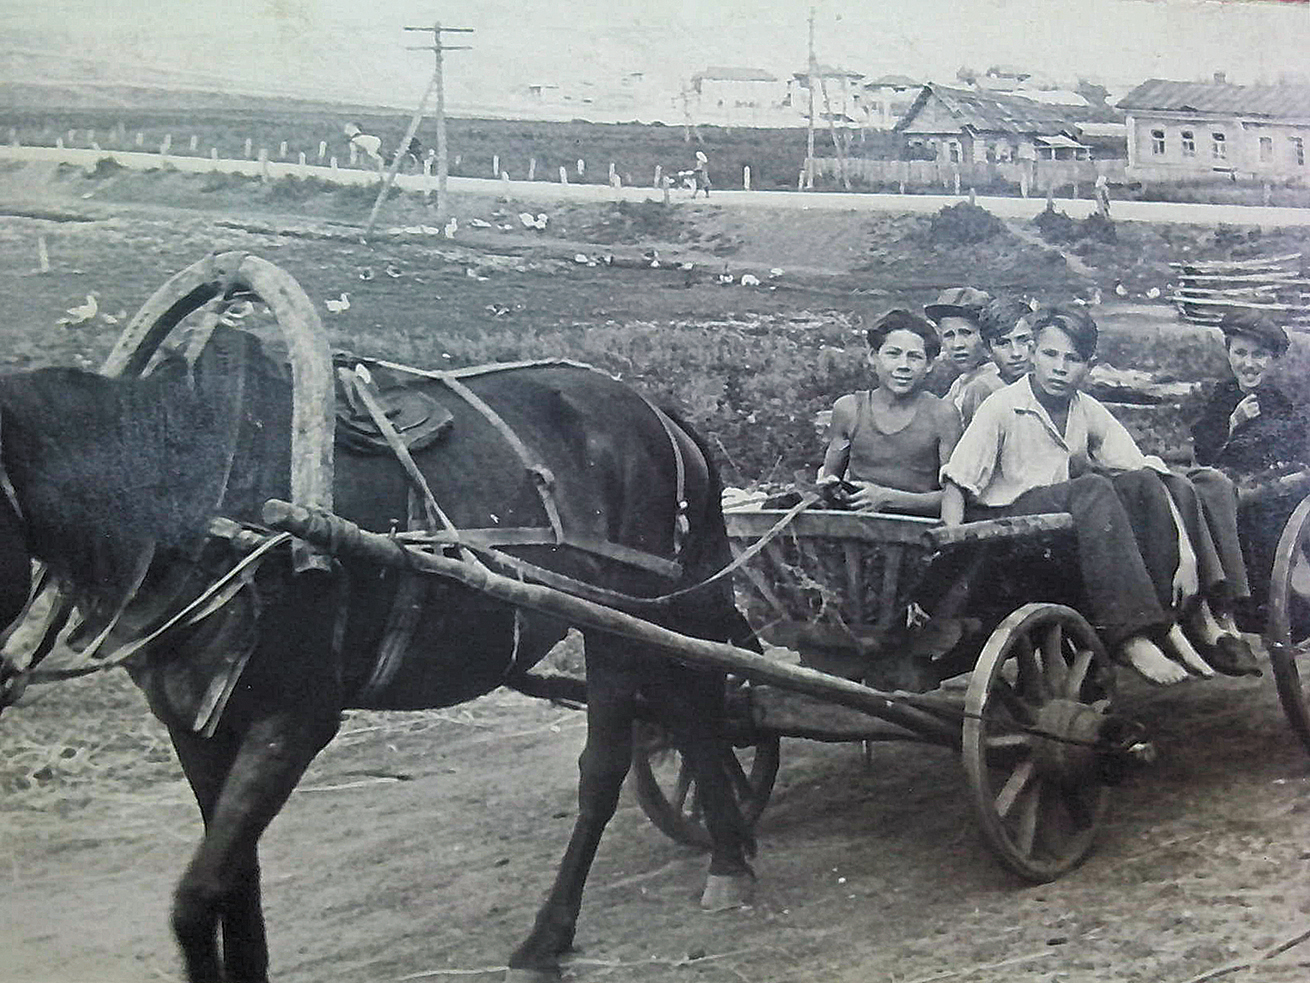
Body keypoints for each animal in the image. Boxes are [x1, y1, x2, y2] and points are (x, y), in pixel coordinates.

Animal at [0, 332, 759, 983]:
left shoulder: (295, 720)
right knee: (694, 712)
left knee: (607, 765)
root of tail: (655, 412)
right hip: (646, 618)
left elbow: (196, 897)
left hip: (621, 619)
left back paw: (550, 934)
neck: (202, 497)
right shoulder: (195, 724)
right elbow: (233, 879)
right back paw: (728, 853)